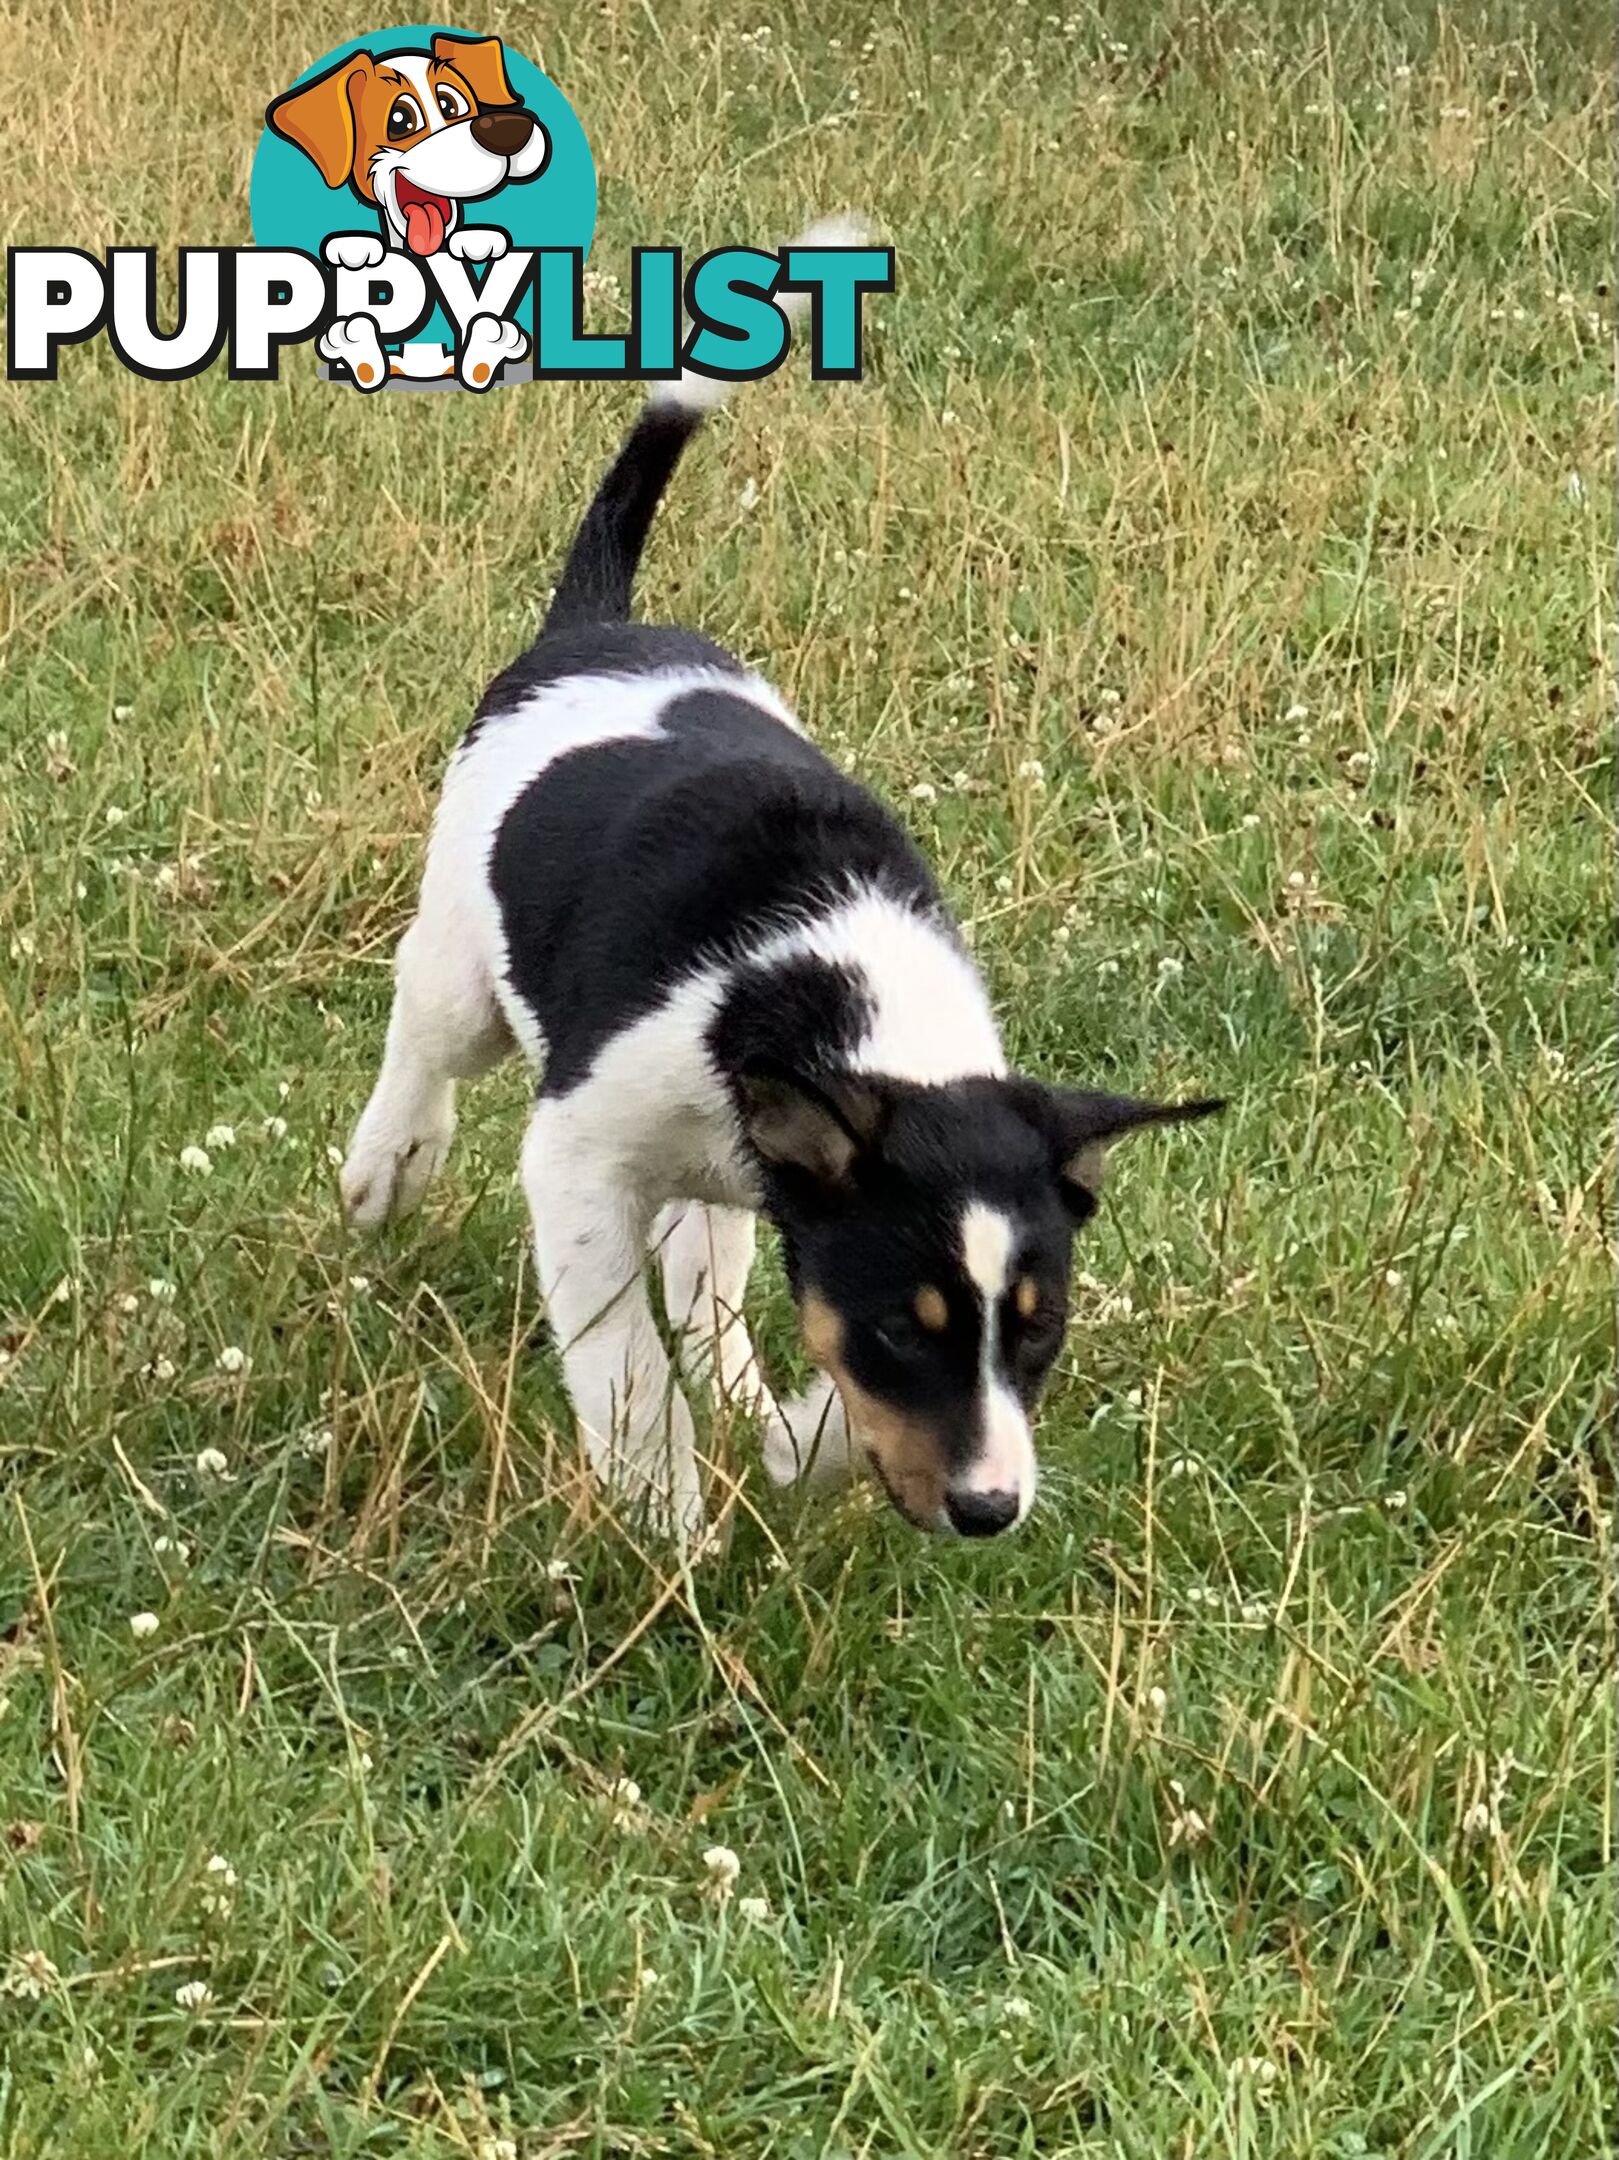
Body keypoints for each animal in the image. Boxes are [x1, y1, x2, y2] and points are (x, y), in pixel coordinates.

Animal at [345, 223, 1226, 1537]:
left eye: (1037, 1334)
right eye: (900, 1331)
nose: (988, 1512)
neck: (844, 1006)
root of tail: (596, 630)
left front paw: (790, 1445)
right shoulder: (578, 1164)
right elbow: (624, 1363)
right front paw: (661, 1510)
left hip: (704, 1190)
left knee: (704, 1273)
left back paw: (739, 1391)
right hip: (466, 972)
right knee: (424, 1032)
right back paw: (386, 1165)